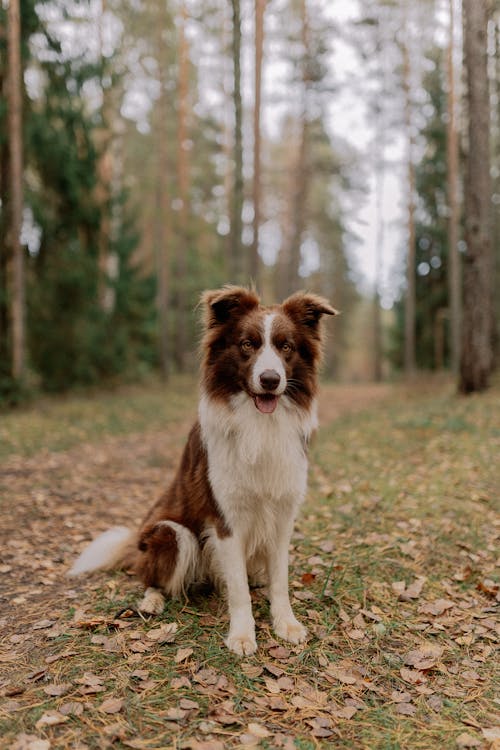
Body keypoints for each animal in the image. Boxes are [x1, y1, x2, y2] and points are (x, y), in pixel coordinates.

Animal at [69, 288, 336, 656]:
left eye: (286, 347)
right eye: (248, 344)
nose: (270, 380)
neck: (260, 424)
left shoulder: (283, 513)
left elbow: (279, 580)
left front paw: (286, 623)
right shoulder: (225, 519)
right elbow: (237, 590)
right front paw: (242, 635)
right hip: (170, 533)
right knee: (151, 578)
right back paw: (151, 601)